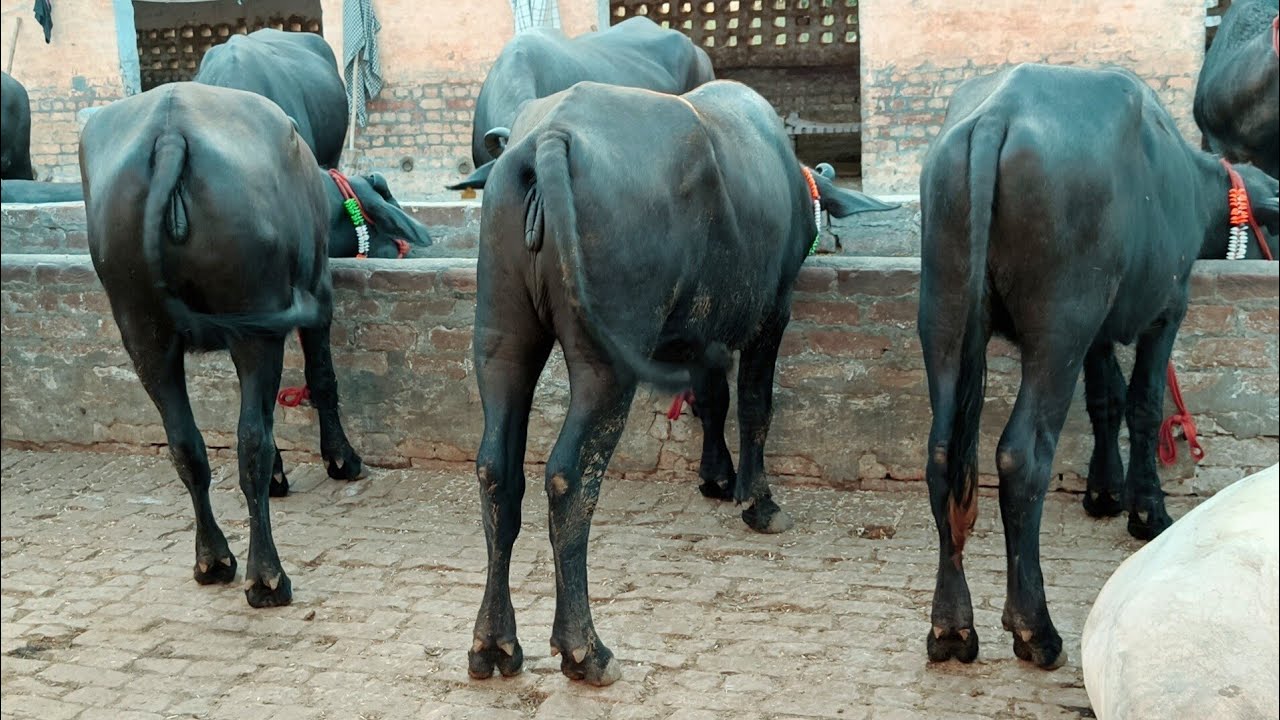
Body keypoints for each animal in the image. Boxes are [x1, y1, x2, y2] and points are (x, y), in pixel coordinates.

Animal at [467, 80, 896, 686]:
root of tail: (549, 138)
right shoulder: (770, 316)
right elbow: (755, 404)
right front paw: (758, 500)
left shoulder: (700, 339)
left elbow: (711, 400)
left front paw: (715, 477)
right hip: (605, 363)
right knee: (570, 479)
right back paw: (584, 649)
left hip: (502, 337)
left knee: (496, 471)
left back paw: (494, 643)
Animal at [918, 63, 1278, 671]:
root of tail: (998, 115)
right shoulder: (1166, 309)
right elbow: (1144, 404)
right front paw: (1145, 509)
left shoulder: (1099, 333)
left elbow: (1105, 399)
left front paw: (1103, 491)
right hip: (1059, 325)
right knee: (1022, 455)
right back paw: (1035, 629)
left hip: (944, 315)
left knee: (944, 454)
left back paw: (951, 627)